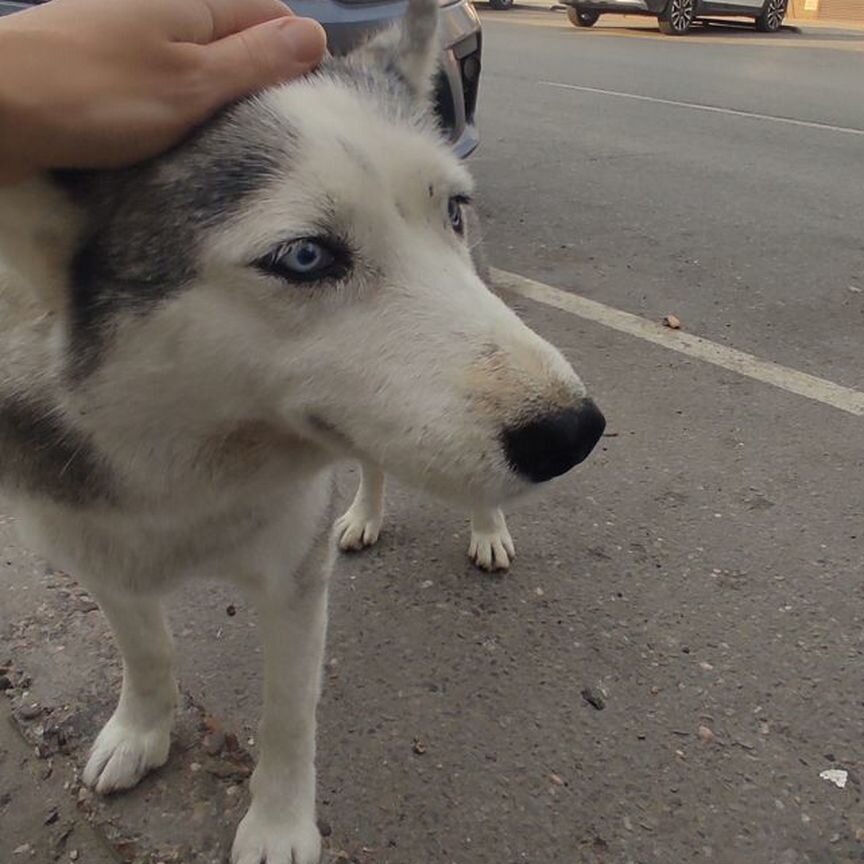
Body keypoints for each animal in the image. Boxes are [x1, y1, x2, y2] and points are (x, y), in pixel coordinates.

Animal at [0, 3, 604, 860]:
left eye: (448, 211)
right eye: (306, 257)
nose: (573, 430)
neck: (181, 456)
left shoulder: (290, 575)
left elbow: (287, 718)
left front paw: (278, 824)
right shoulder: (93, 548)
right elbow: (146, 649)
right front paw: (142, 730)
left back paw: (486, 528)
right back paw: (365, 514)